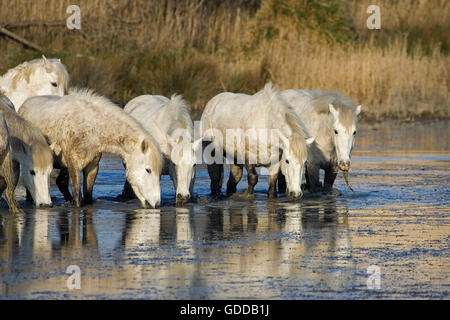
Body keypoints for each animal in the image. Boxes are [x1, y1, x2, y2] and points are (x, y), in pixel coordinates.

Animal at [19, 88, 163, 208]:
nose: (156, 203)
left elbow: (88, 198)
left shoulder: (92, 167)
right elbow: (78, 200)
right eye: (148, 170)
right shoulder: (74, 166)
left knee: (61, 182)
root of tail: (23, 106)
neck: (90, 129)